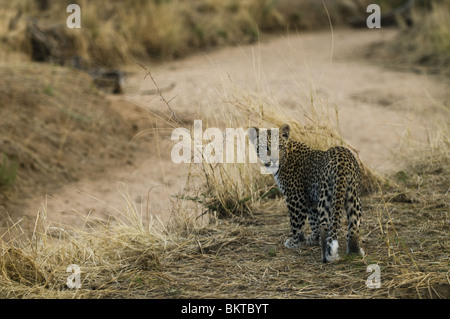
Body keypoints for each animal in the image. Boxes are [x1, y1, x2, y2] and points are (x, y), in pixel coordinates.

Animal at [248, 124, 364, 262]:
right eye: (265, 148)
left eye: (280, 147)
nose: (275, 160)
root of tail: (342, 161)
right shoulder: (310, 200)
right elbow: (313, 221)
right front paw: (313, 239)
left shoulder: (295, 198)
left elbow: (296, 223)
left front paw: (295, 242)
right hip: (353, 195)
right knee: (354, 225)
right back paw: (354, 251)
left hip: (325, 197)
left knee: (325, 225)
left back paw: (326, 255)